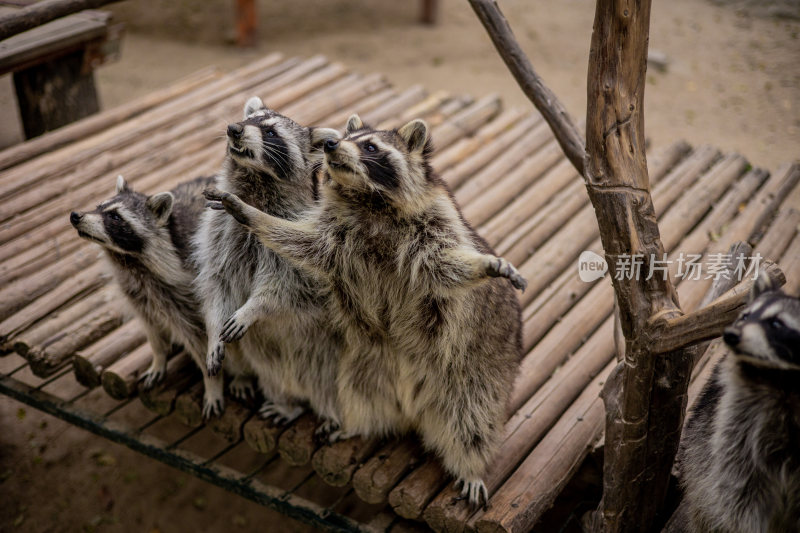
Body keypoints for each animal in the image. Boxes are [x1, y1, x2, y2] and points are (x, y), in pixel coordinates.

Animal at [70, 175, 227, 416]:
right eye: (98, 207)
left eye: (115, 217)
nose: (75, 216)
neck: (128, 259)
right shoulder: (136, 293)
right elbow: (151, 328)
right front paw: (158, 356)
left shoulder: (186, 291)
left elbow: (199, 339)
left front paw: (213, 383)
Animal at [195, 95, 346, 428]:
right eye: (248, 120)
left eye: (271, 132)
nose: (234, 128)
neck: (255, 182)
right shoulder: (220, 230)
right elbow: (217, 282)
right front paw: (213, 333)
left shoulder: (297, 234)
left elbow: (287, 286)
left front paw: (255, 307)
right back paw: (287, 403)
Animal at [206, 114, 528, 504]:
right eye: (346, 138)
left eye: (370, 146)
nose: (331, 145)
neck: (368, 201)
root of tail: (411, 407)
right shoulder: (332, 235)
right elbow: (299, 241)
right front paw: (250, 214)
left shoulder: (434, 224)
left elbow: (445, 265)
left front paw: (484, 265)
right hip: (367, 365)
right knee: (360, 397)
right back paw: (357, 426)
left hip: (476, 372)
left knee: (472, 423)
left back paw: (470, 466)